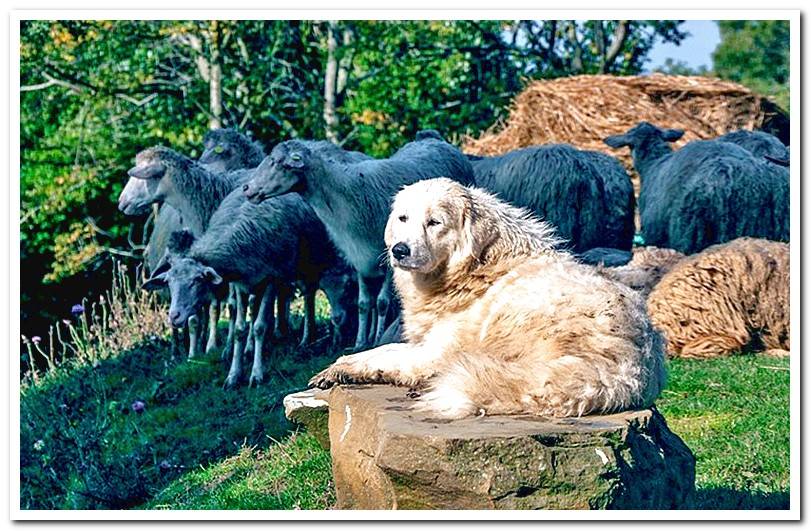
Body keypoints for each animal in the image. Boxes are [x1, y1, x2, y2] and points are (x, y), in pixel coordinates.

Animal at [241, 135, 476, 350]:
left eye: (279, 163)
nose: (247, 188)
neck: (346, 195)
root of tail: (434, 139)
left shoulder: (388, 258)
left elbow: (382, 303)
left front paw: (377, 339)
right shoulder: (360, 256)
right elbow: (364, 304)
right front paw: (361, 341)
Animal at [308, 179, 664, 420]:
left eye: (434, 222)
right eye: (403, 219)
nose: (400, 250)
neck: (477, 268)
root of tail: (635, 367)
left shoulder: (433, 353)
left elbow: (383, 355)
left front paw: (338, 368)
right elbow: (386, 349)